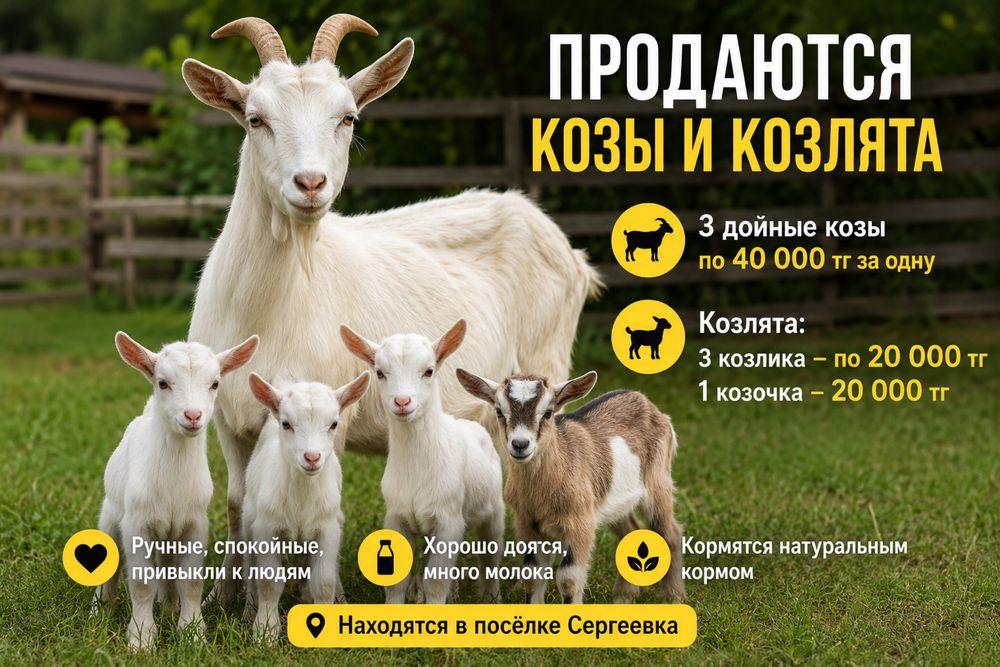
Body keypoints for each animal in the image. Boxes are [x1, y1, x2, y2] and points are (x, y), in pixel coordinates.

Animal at [91, 332, 258, 650]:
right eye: (163, 383)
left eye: (215, 383)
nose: (193, 415)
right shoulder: (137, 524)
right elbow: (141, 583)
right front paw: (141, 639)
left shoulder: (194, 524)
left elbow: (190, 582)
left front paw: (192, 634)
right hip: (111, 513)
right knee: (111, 559)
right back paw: (101, 609)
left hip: (168, 533)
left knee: (167, 566)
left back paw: (169, 609)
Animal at [243, 371, 369, 639]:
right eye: (286, 424)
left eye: (334, 424)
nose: (312, 458)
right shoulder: (267, 528)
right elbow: (268, 582)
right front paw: (265, 632)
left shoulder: (326, 530)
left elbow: (324, 581)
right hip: (248, 520)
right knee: (249, 567)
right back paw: (249, 609)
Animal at [341, 320, 504, 603]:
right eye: (380, 373)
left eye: (429, 371)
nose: (402, 401)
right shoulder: (397, 517)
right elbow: (396, 582)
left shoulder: (449, 519)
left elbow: (435, 582)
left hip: (493, 509)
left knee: (490, 557)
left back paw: (491, 598)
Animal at [457, 370, 685, 604]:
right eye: (499, 411)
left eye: (549, 412)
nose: (520, 444)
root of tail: (647, 403)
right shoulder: (528, 523)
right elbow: (532, 575)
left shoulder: (580, 522)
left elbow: (569, 579)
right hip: (615, 502)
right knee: (631, 530)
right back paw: (623, 596)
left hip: (658, 482)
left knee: (671, 533)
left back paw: (673, 597)